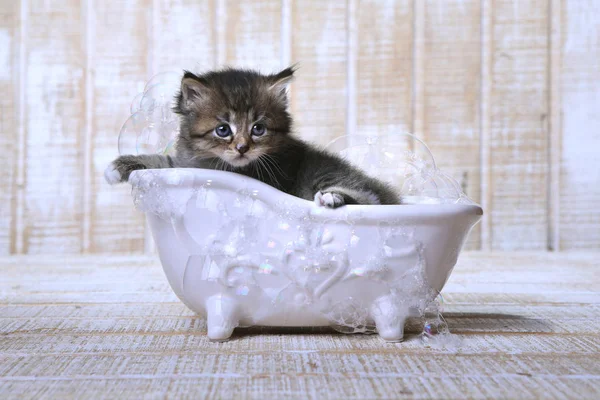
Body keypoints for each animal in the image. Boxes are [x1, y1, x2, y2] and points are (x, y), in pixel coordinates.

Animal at [105, 67, 400, 208]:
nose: (242, 147)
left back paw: (333, 198)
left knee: (370, 198)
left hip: (322, 172)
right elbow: (162, 162)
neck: (216, 163)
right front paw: (119, 166)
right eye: (223, 129)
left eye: (258, 129)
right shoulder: (185, 164)